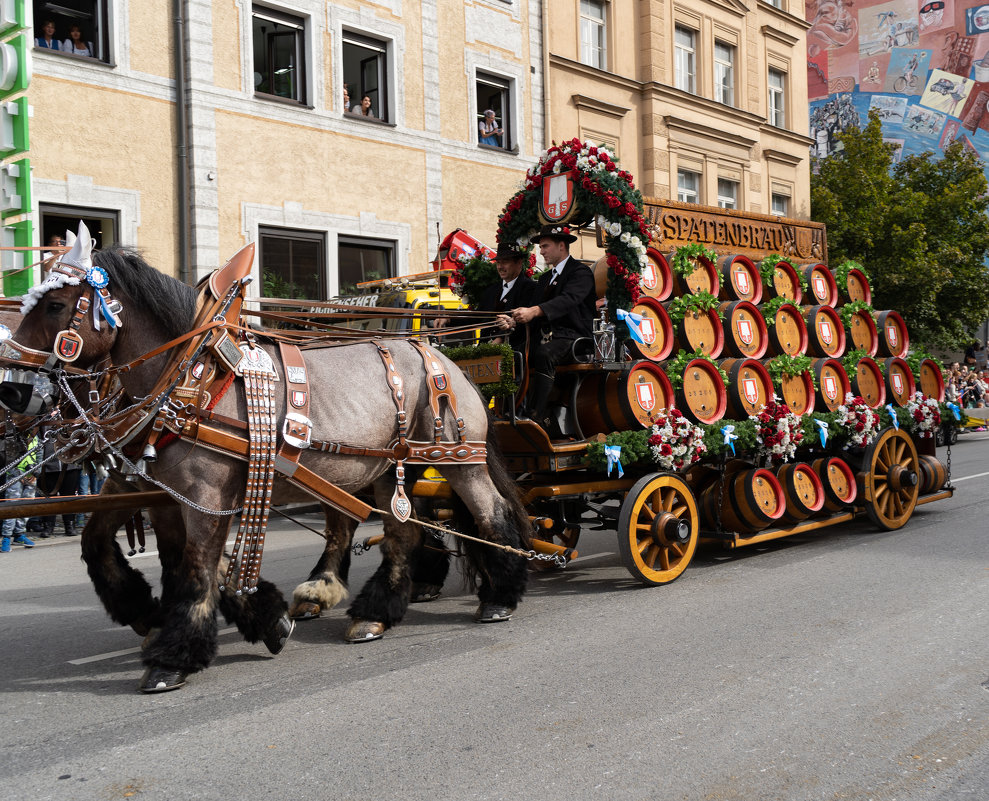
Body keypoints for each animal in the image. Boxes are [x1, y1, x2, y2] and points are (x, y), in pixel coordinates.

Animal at [0, 228, 528, 692]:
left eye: (54, 305)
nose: (13, 391)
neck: (193, 376)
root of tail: (444, 359)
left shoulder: (205, 495)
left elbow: (197, 569)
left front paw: (174, 657)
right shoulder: (158, 491)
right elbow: (119, 548)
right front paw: (179, 616)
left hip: (459, 458)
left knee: (491, 514)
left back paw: (499, 597)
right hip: (386, 468)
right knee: (402, 532)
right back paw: (374, 613)